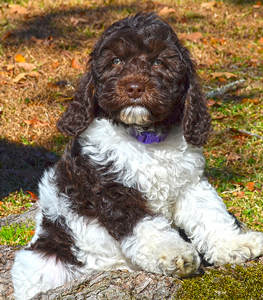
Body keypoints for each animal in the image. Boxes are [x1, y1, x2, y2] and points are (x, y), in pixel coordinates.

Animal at [11, 12, 263, 298]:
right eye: (116, 61)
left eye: (158, 62)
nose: (133, 88)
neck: (146, 138)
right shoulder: (114, 191)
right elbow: (148, 226)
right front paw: (174, 255)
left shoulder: (189, 183)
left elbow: (211, 213)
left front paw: (236, 244)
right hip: (43, 260)